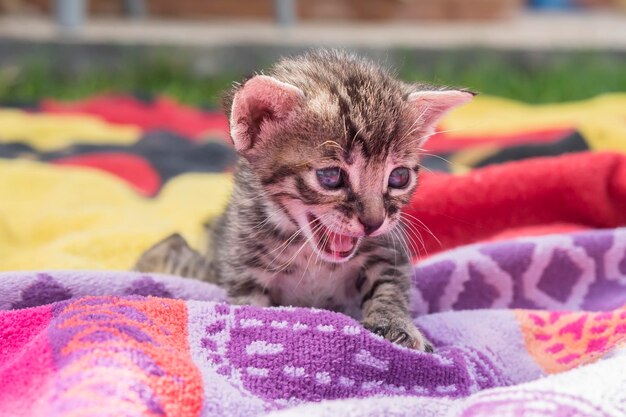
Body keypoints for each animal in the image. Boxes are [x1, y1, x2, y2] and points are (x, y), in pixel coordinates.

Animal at [134, 51, 470, 352]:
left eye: (399, 177)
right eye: (331, 176)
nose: (373, 223)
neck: (313, 258)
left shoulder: (388, 249)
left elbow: (389, 287)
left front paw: (396, 324)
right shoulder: (243, 266)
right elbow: (250, 307)